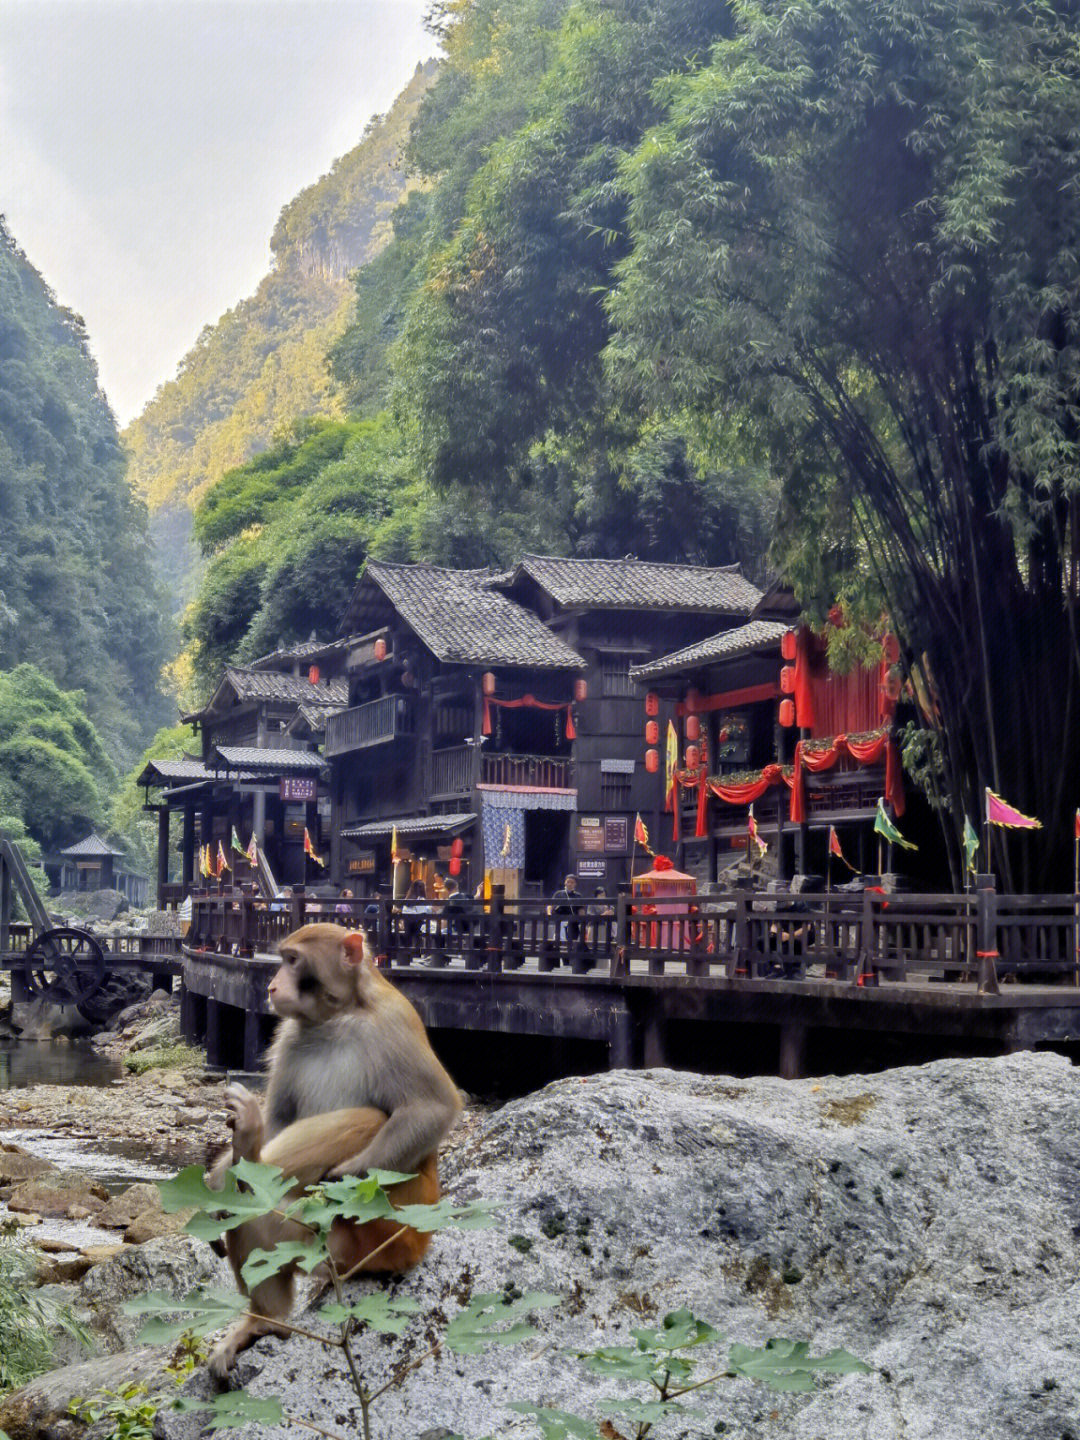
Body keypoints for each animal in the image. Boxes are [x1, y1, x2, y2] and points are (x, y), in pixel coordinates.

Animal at [204, 921, 463, 1370]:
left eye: (293, 961)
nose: (272, 985)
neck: (338, 1015)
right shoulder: (288, 1037)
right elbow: (281, 1121)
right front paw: (224, 1173)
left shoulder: (393, 1021)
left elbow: (432, 1107)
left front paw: (337, 1181)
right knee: (255, 1209)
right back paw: (265, 1316)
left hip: (379, 1243)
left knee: (368, 1119)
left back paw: (251, 1152)